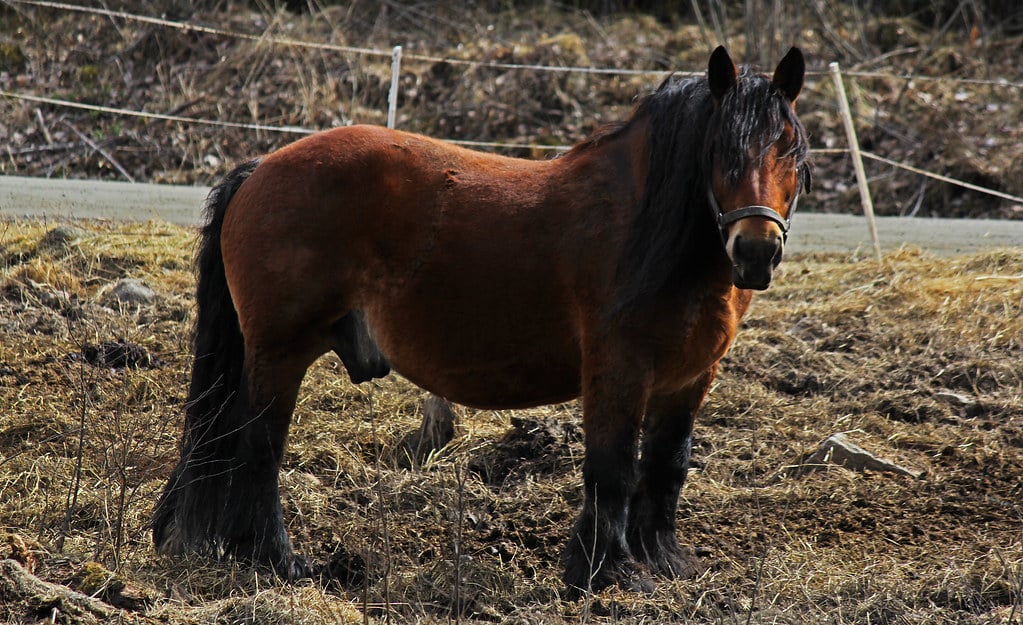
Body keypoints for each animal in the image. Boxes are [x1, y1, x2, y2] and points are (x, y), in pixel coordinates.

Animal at [153, 46, 811, 595]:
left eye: (789, 147)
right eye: (721, 151)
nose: (756, 251)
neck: (647, 229)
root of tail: (261, 166)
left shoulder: (689, 378)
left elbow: (667, 466)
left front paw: (665, 562)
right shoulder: (619, 370)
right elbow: (613, 467)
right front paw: (609, 573)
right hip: (280, 352)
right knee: (260, 448)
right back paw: (278, 560)